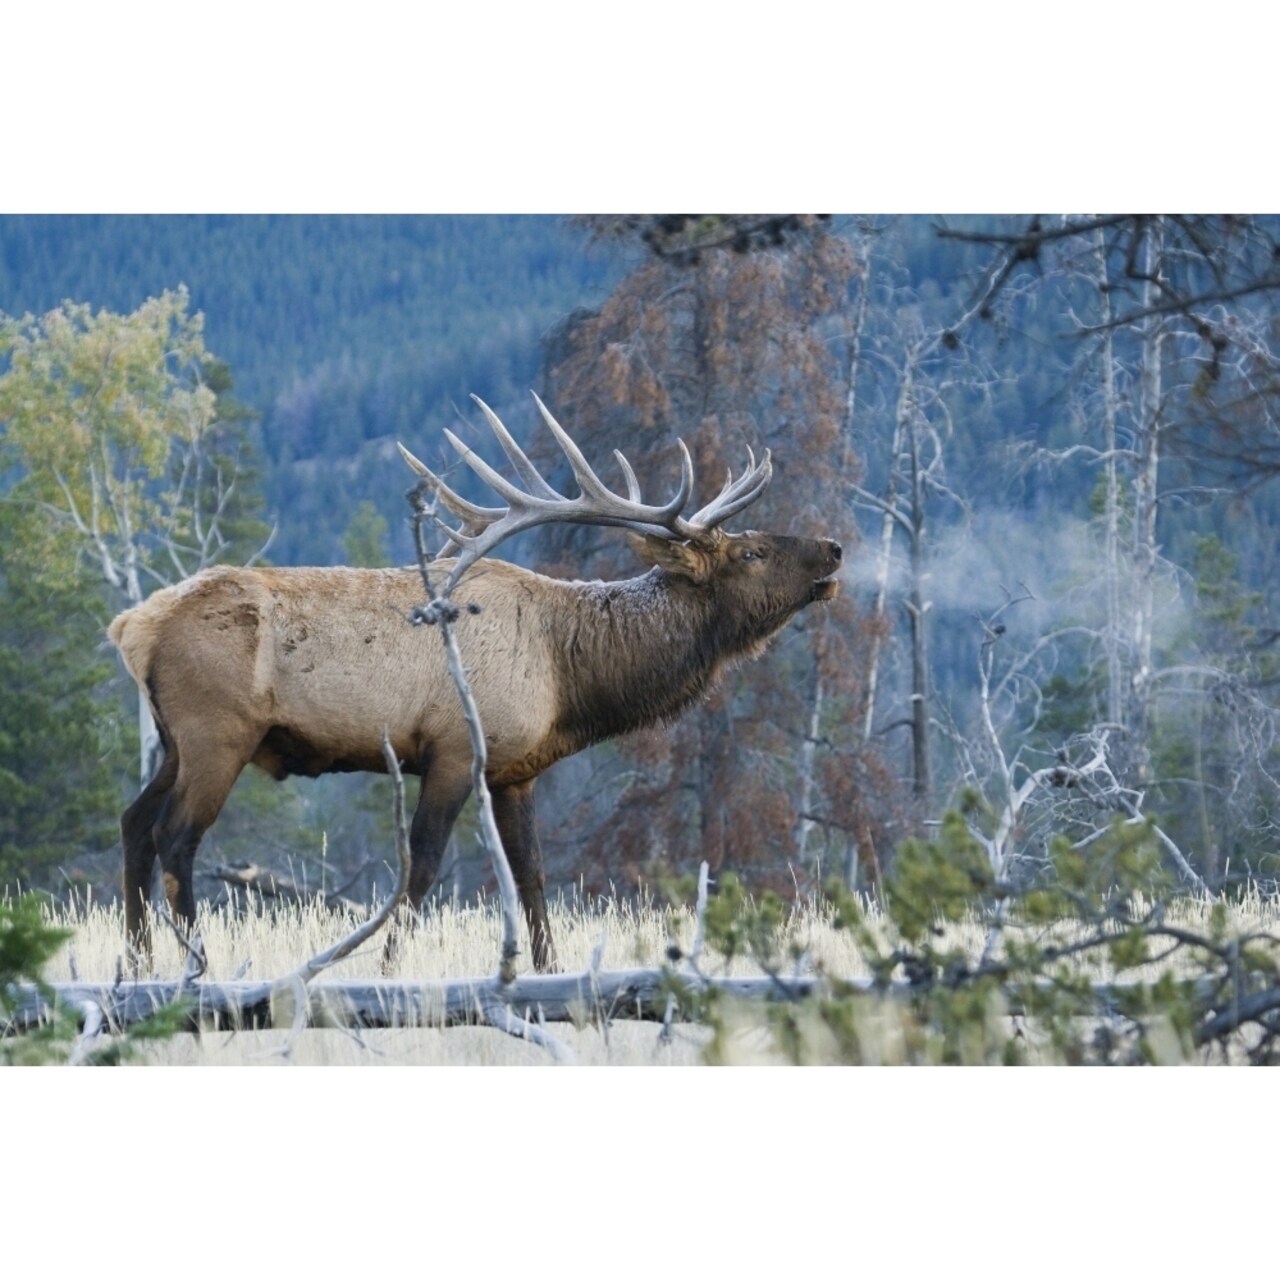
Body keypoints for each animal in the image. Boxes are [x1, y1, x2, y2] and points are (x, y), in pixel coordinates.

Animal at [109, 393, 842, 972]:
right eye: (751, 552)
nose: (834, 548)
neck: (569, 679)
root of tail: (130, 625)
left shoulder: (516, 771)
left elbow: (533, 878)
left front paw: (550, 973)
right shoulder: (455, 748)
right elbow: (424, 865)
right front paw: (387, 968)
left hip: (173, 742)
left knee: (134, 822)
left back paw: (138, 963)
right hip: (218, 735)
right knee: (176, 836)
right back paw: (196, 964)